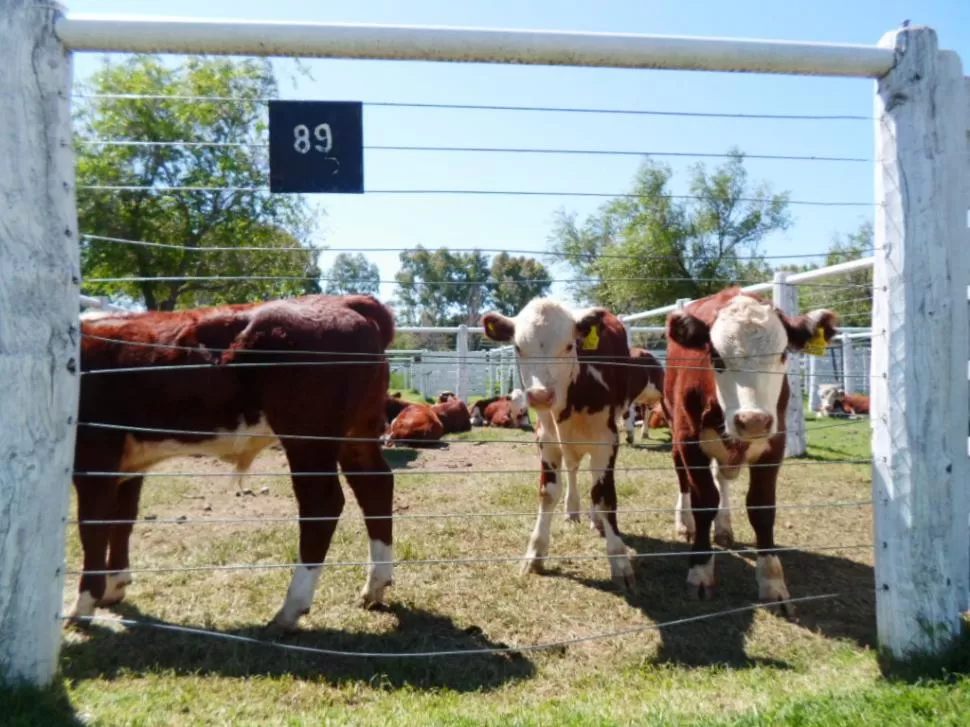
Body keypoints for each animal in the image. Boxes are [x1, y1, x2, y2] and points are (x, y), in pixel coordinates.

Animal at [70, 292, 398, 636]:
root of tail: (348, 301)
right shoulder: (131, 461)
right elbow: (122, 520)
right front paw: (114, 586)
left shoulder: (94, 452)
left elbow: (93, 527)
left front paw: (83, 605)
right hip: (356, 431)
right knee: (375, 484)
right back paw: (375, 586)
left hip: (308, 436)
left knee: (322, 505)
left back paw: (290, 609)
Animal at [482, 298, 636, 588]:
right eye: (518, 347)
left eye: (568, 345)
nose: (541, 395)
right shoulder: (546, 439)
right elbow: (548, 492)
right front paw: (535, 553)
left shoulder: (607, 440)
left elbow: (604, 496)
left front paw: (619, 560)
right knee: (574, 470)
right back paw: (572, 511)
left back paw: (596, 520)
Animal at [660, 288, 836, 616]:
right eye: (716, 356)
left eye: (783, 354)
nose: (752, 420)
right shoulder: (689, 441)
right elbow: (703, 502)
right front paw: (700, 570)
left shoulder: (775, 443)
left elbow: (761, 508)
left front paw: (772, 582)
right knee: (683, 480)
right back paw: (684, 522)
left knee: (722, 479)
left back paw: (724, 526)